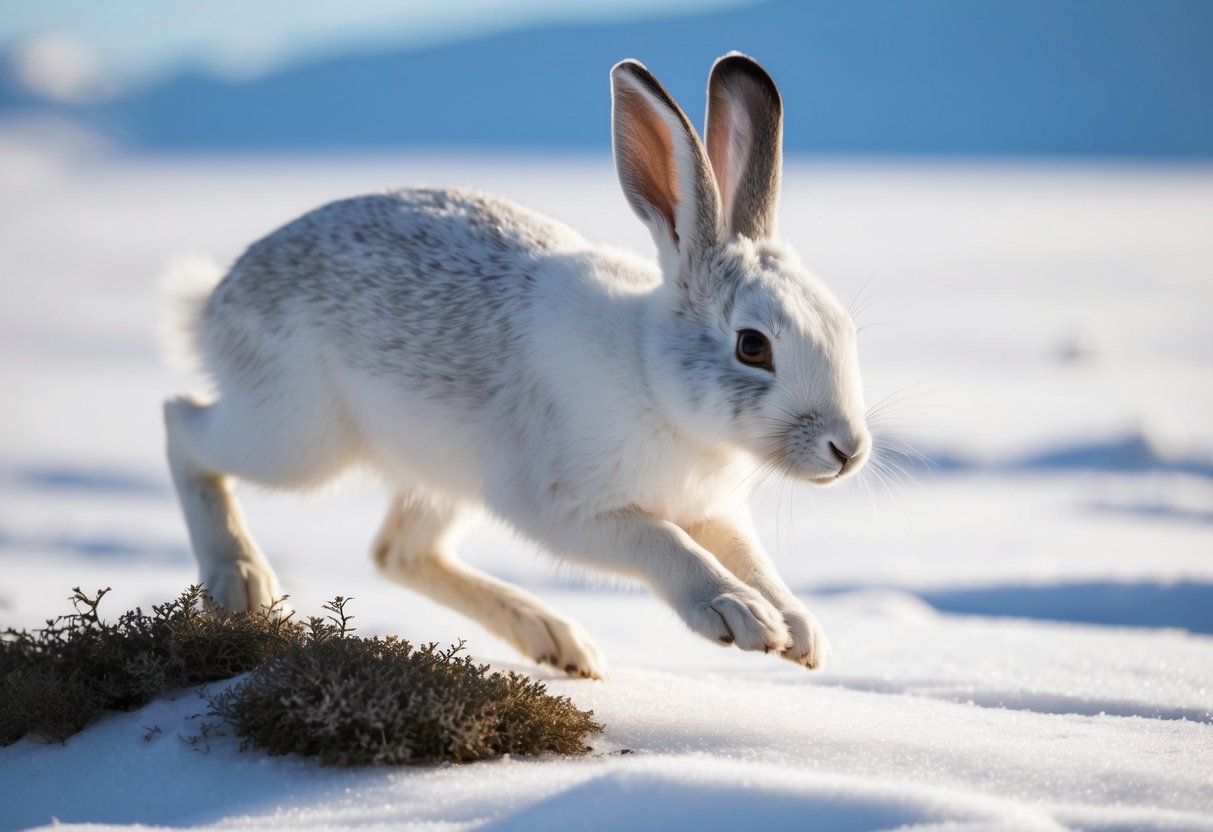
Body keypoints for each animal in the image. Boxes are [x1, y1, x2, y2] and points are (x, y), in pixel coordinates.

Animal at [164, 52, 871, 679]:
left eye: (843, 327)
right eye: (753, 346)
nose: (848, 450)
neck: (654, 377)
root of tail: (218, 300)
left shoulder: (712, 512)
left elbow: (751, 559)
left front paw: (800, 632)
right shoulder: (564, 506)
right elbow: (663, 543)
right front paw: (736, 615)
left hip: (433, 469)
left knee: (399, 553)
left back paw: (554, 638)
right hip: (300, 436)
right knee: (184, 425)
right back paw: (239, 580)